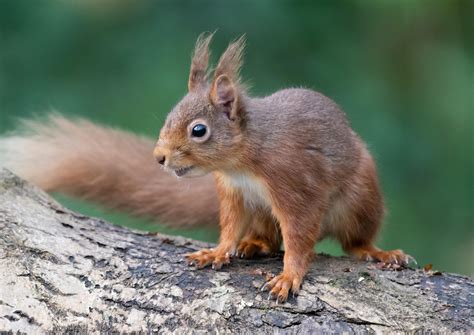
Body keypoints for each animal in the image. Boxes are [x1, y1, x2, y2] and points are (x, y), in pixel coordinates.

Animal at [0, 32, 408, 304]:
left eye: (199, 131)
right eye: (169, 115)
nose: (159, 157)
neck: (244, 162)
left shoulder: (294, 185)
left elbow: (299, 236)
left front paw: (289, 276)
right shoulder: (232, 192)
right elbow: (229, 226)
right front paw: (218, 251)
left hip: (360, 199)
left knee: (354, 240)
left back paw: (379, 253)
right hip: (262, 213)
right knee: (268, 237)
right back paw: (253, 244)